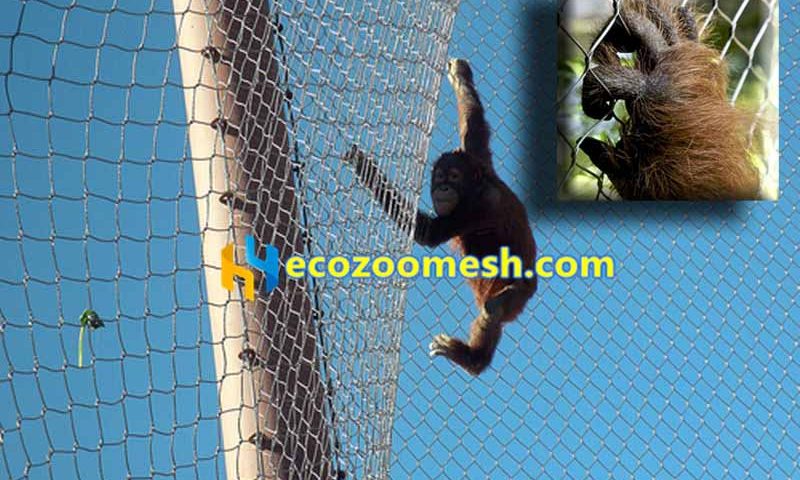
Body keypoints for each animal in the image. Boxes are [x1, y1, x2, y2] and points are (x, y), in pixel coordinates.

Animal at [344, 59, 537, 376]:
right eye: (440, 177)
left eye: (453, 177)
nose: (442, 187)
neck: (477, 185)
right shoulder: (478, 156)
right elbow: (473, 122)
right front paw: (460, 76)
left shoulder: (478, 208)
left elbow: (428, 233)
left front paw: (365, 166)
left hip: (520, 292)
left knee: (494, 309)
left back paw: (472, 359)